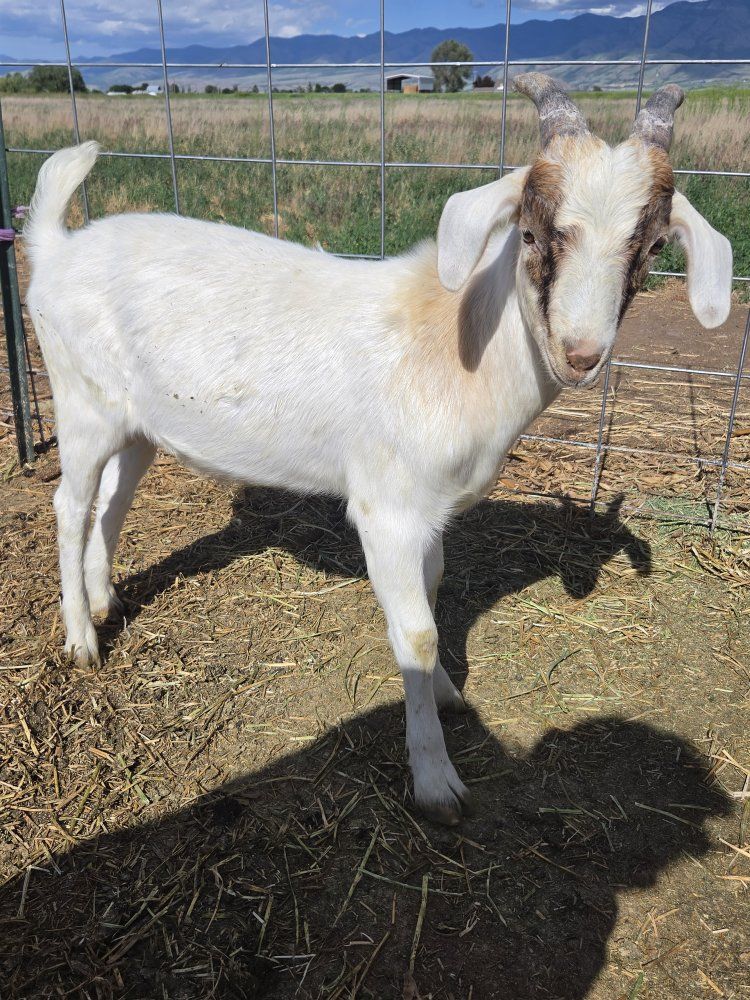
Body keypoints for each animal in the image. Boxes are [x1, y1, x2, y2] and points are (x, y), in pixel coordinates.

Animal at [25, 75, 731, 824]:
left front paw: (448, 691)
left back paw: (105, 601)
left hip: (138, 425)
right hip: (81, 403)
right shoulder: (387, 509)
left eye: (650, 249)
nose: (581, 354)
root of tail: (55, 249)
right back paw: (81, 639)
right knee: (69, 505)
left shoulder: (431, 508)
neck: (455, 342)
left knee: (112, 501)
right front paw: (436, 780)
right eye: (532, 232)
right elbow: (416, 632)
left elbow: (434, 587)